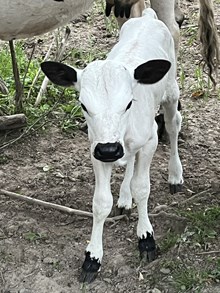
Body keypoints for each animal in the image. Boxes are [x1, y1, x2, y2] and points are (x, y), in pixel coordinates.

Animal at [40, 8, 183, 282]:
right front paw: (92, 258)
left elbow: (142, 188)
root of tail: (148, 16)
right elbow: (101, 202)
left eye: (128, 103)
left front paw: (146, 238)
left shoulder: (149, 140)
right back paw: (124, 197)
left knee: (173, 125)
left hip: (171, 91)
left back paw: (175, 175)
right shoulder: (96, 149)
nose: (109, 149)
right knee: (130, 160)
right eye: (83, 106)